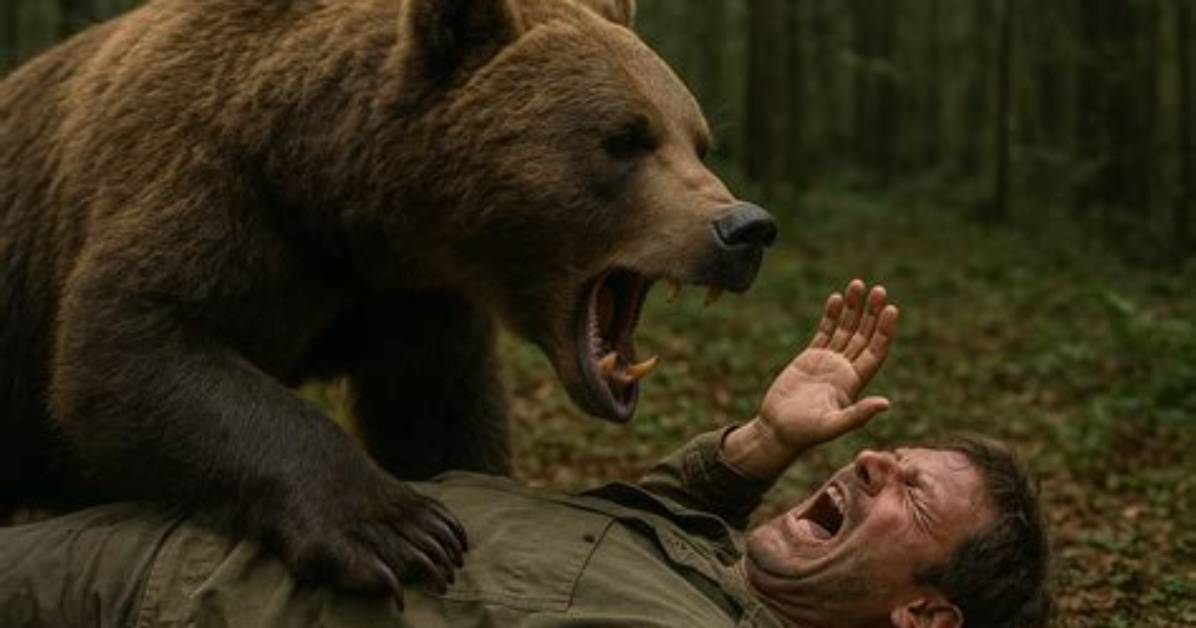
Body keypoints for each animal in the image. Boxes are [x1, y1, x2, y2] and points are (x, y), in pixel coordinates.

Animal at [0, 0, 776, 595]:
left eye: (698, 140)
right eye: (624, 139)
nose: (745, 228)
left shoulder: (414, 306)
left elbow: (441, 419)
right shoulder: (215, 190)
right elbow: (129, 346)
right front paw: (397, 530)